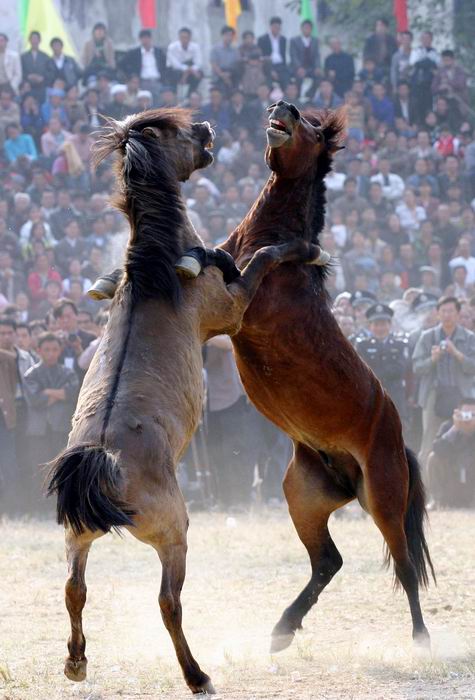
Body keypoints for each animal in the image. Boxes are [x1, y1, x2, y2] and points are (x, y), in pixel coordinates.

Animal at [47, 109, 324, 696]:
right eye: (175, 133)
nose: (207, 128)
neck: (155, 269)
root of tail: (101, 465)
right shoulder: (232, 308)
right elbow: (261, 256)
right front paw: (307, 249)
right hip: (173, 534)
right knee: (167, 602)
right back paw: (197, 674)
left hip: (76, 534)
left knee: (74, 588)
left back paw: (77, 662)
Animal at [221, 101, 436, 652]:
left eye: (312, 127)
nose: (282, 107)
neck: (264, 232)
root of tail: (398, 439)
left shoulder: (240, 307)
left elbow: (258, 261)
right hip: (304, 494)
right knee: (328, 561)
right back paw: (282, 628)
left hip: (384, 497)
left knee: (404, 566)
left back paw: (422, 638)